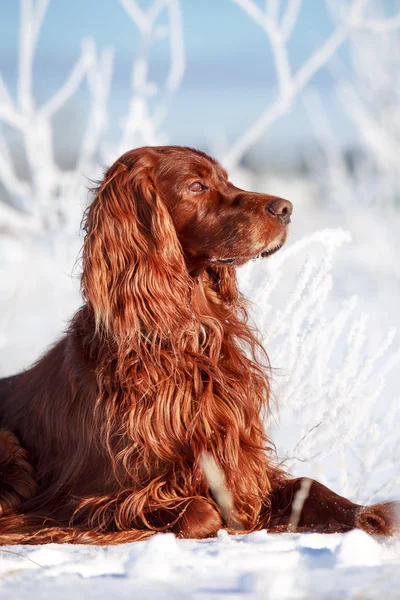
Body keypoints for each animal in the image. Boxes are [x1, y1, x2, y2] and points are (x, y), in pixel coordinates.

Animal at [0, 146, 396, 544]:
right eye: (196, 185)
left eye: (226, 180)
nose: (286, 208)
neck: (185, 336)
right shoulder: (88, 498)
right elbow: (200, 512)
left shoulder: (242, 466)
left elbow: (307, 485)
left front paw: (369, 516)